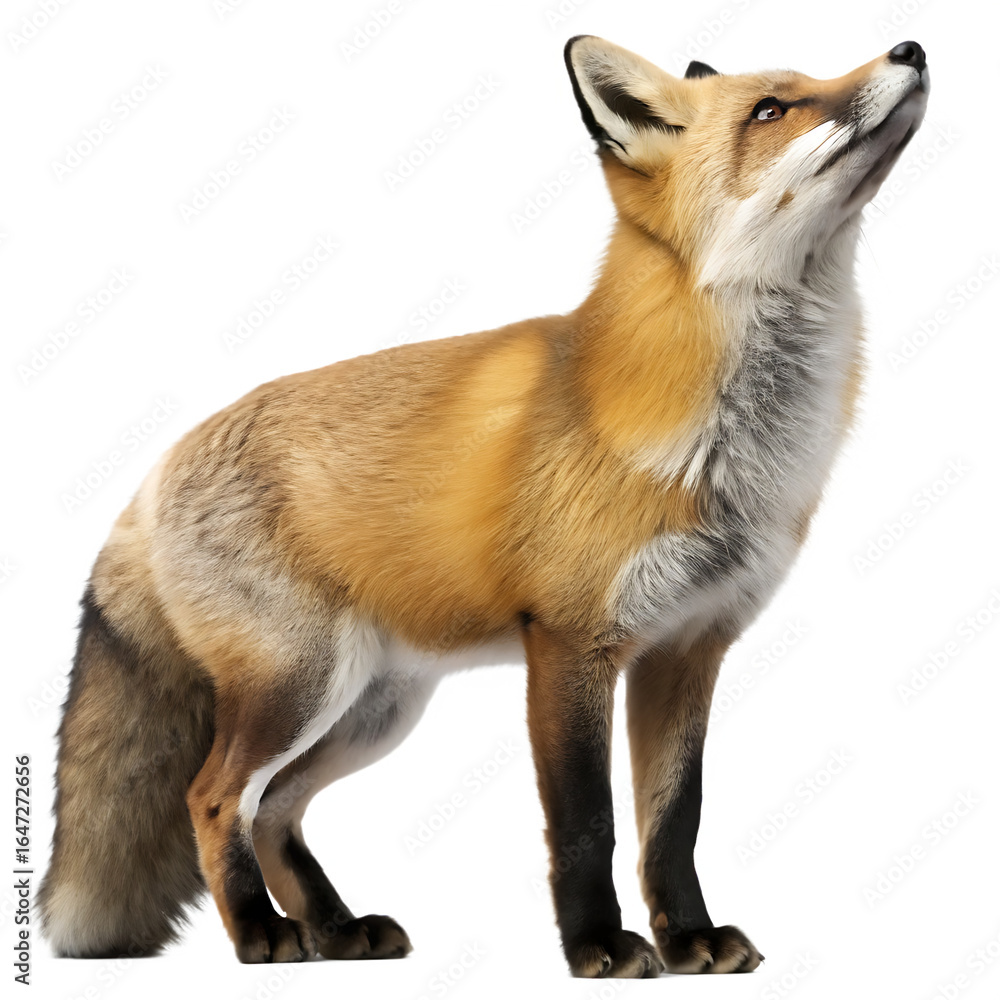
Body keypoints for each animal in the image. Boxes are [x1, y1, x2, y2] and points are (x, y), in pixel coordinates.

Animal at [39, 35, 928, 977]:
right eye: (771, 109)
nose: (910, 47)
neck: (728, 441)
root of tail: (156, 469)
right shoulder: (572, 641)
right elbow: (588, 822)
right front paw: (598, 946)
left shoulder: (688, 647)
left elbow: (672, 822)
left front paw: (688, 938)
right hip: (300, 687)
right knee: (212, 797)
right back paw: (261, 934)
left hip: (371, 712)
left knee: (275, 808)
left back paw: (336, 930)